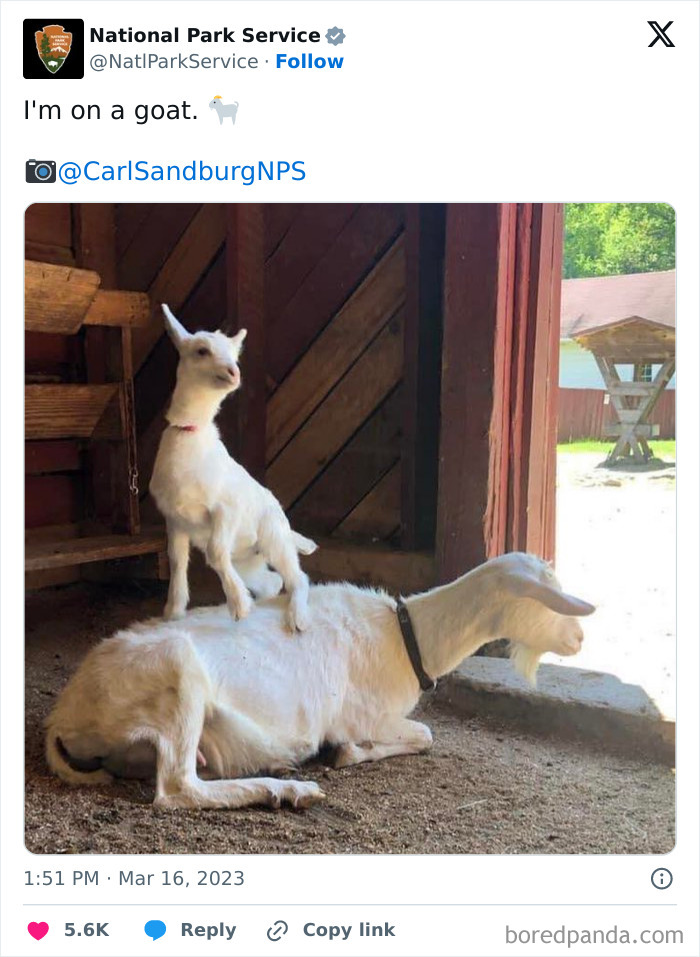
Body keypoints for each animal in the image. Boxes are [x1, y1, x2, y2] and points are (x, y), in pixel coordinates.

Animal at [46, 553, 594, 810]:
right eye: (547, 598)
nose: (579, 638)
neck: (406, 635)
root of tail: (62, 719)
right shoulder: (367, 715)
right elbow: (424, 734)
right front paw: (348, 752)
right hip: (176, 676)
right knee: (177, 788)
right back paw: (288, 790)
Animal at [149, 305, 316, 631]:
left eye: (234, 355)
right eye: (201, 350)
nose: (234, 372)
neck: (190, 433)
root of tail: (289, 531)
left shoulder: (226, 508)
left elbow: (215, 554)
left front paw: (239, 606)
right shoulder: (174, 519)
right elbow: (177, 561)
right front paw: (173, 612)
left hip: (274, 535)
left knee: (297, 577)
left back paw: (298, 618)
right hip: (248, 560)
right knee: (272, 582)